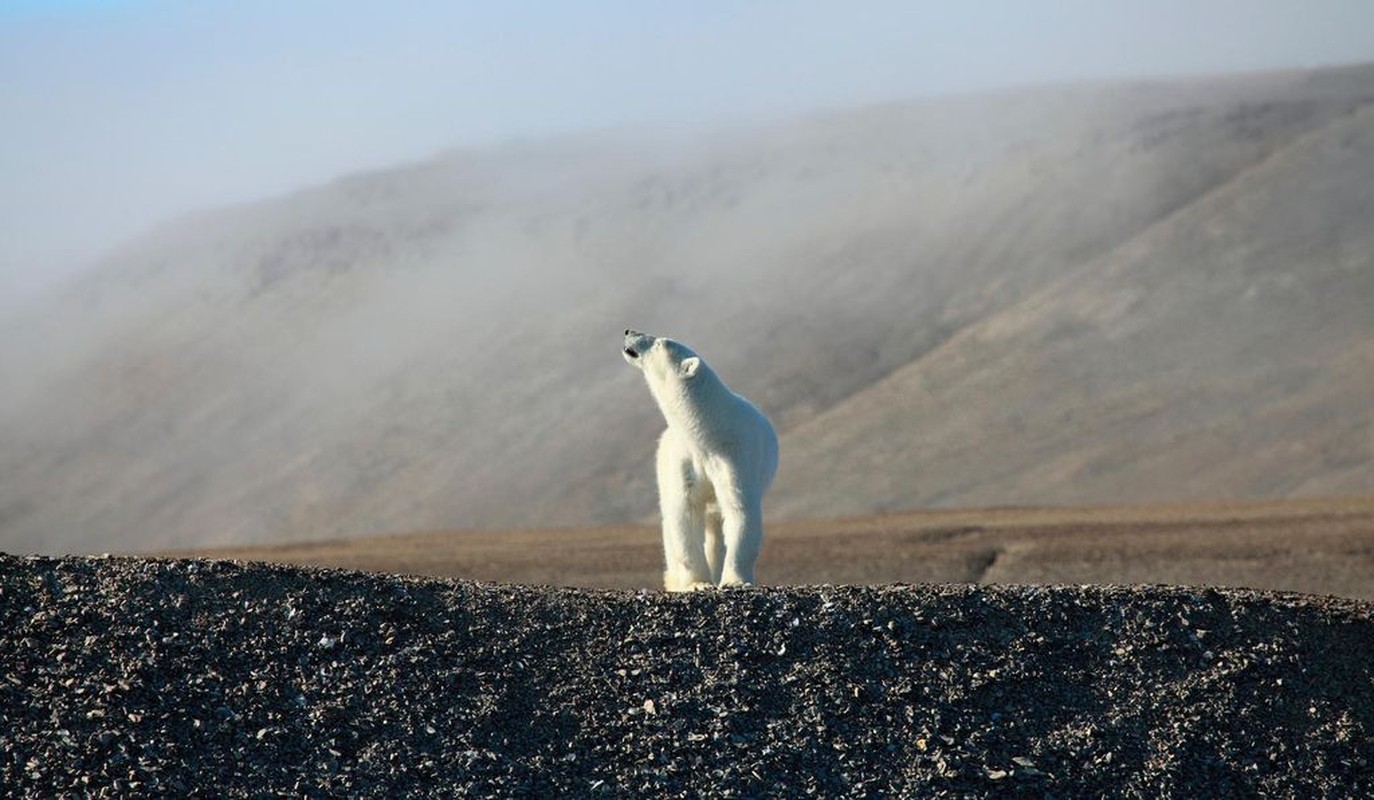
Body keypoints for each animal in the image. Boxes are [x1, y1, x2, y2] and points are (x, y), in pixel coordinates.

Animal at [621, 329, 774, 593]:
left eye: (660, 342)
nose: (629, 331)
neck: (709, 432)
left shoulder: (736, 457)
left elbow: (740, 510)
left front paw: (736, 580)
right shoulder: (686, 460)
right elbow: (685, 511)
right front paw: (698, 582)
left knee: (715, 527)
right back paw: (675, 580)